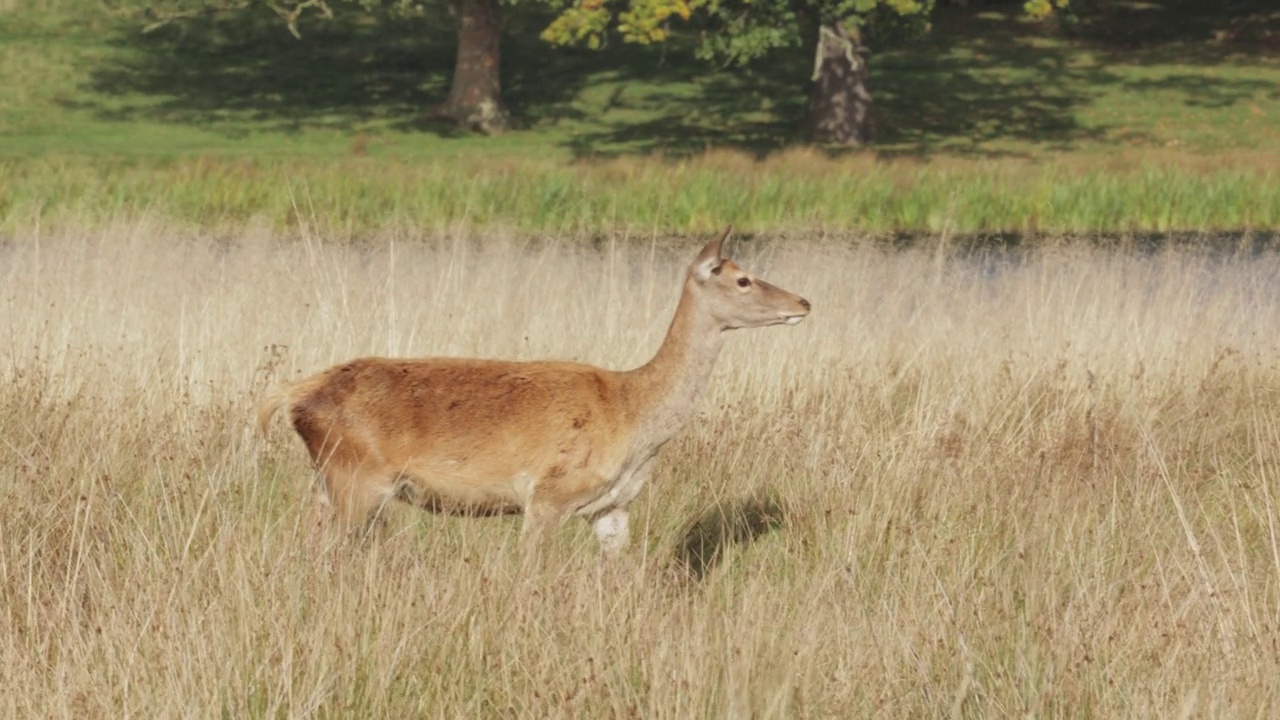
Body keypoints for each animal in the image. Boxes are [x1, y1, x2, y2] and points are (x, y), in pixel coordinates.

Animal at [258, 225, 808, 556]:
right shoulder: (548, 495)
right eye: (742, 279)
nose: (803, 301)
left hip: (326, 481)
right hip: (356, 477)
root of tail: (293, 396)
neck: (634, 419)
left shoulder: (613, 507)